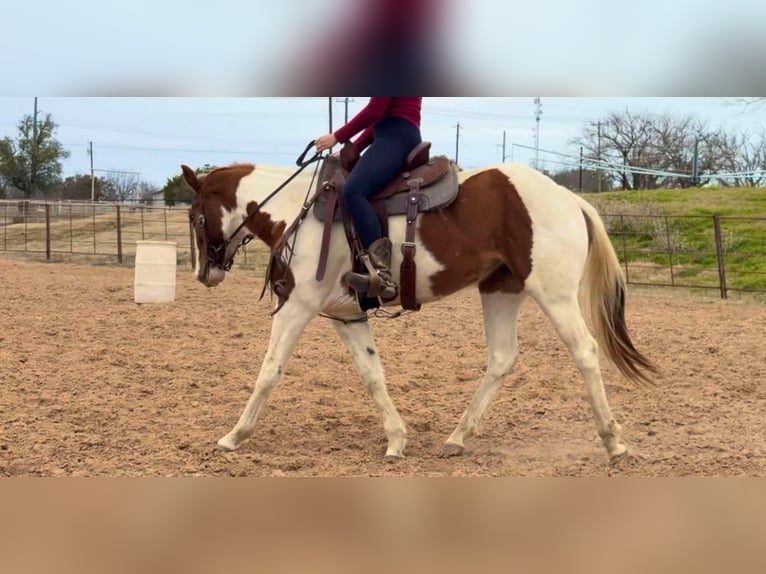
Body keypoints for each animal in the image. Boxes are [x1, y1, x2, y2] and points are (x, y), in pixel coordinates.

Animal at [180, 145, 657, 465]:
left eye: (194, 215)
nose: (205, 272)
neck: (299, 209)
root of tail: (568, 197)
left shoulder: (298, 306)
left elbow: (269, 371)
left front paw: (233, 436)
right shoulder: (347, 315)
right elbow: (372, 374)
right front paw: (396, 440)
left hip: (554, 295)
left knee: (585, 352)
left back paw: (614, 442)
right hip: (501, 291)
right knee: (502, 358)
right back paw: (457, 437)